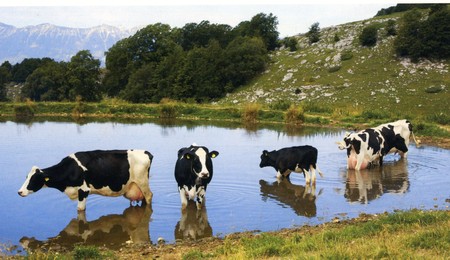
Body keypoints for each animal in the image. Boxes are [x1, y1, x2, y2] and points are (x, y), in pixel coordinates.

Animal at [18, 150, 153, 211]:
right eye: (26, 177)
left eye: (34, 179)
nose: (19, 192)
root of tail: (146, 152)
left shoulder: (83, 190)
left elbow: (80, 209)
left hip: (143, 182)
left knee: (149, 197)